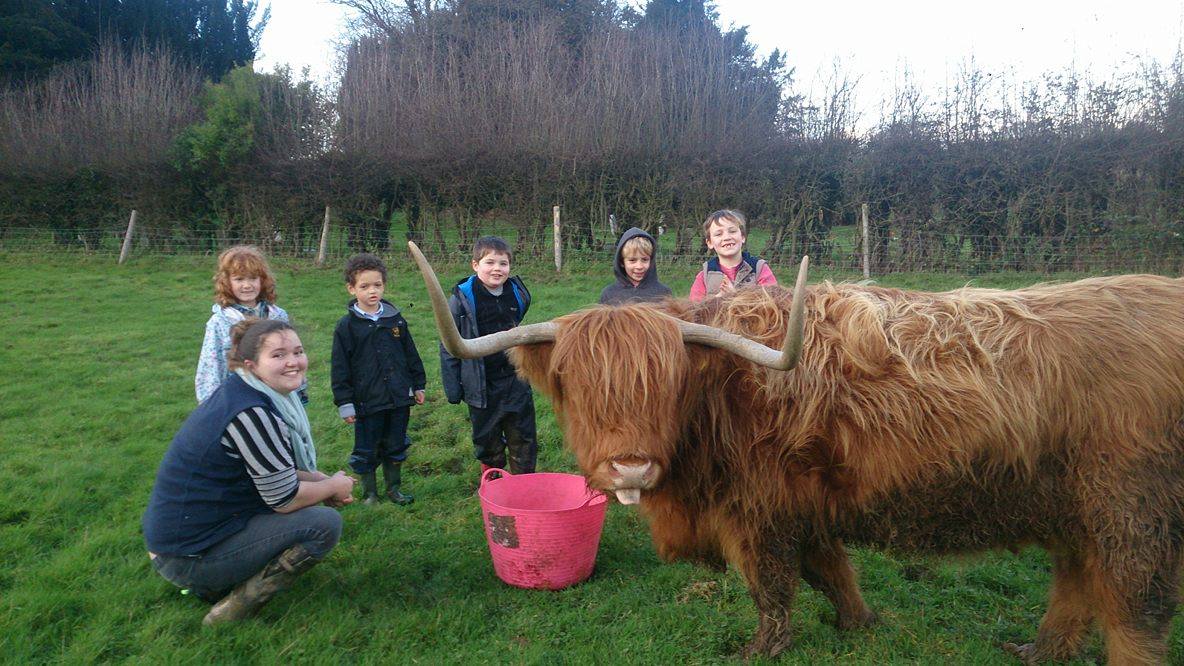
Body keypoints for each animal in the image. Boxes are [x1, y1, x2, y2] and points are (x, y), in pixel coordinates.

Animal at [409, 240, 1184, 658]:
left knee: (1134, 610)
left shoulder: (758, 512)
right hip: (1072, 506)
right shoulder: (804, 506)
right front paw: (861, 625)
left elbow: (774, 588)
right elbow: (831, 571)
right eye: (576, 385)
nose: (631, 465)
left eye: (666, 382)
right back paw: (1035, 649)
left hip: (1129, 509)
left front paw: (759, 650)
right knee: (1077, 582)